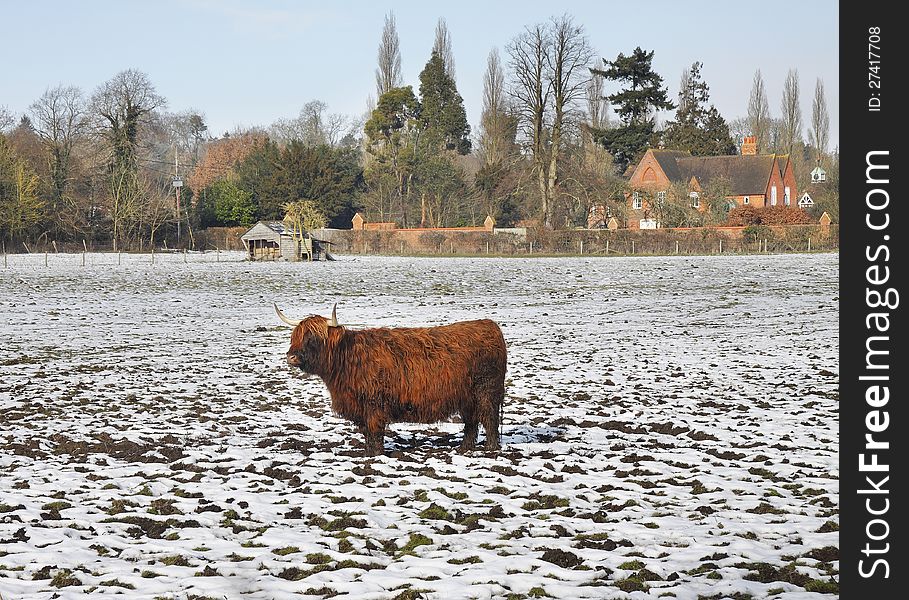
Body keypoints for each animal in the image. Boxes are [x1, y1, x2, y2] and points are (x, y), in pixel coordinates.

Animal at [274, 304, 508, 454]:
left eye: (312, 338)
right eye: (295, 337)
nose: (291, 357)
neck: (347, 358)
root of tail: (489, 325)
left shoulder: (375, 404)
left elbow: (375, 431)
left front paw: (375, 455)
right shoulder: (360, 407)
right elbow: (366, 432)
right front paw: (367, 452)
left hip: (486, 391)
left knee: (489, 419)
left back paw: (490, 449)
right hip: (467, 396)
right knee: (471, 422)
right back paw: (464, 448)